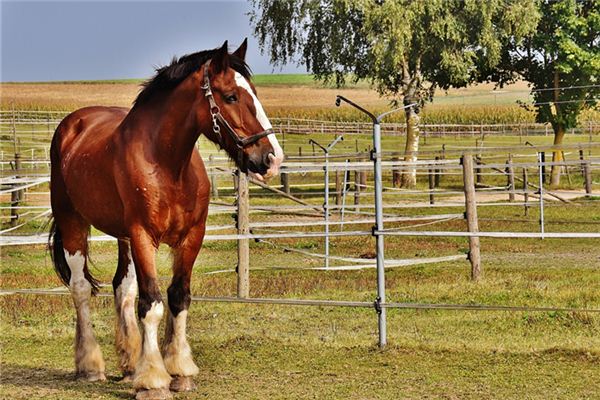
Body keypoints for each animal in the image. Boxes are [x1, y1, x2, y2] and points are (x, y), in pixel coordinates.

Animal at [49, 41, 284, 400]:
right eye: (231, 96)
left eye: (255, 93)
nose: (272, 159)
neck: (167, 165)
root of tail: (73, 124)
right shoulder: (143, 236)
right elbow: (152, 303)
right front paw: (154, 380)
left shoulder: (190, 237)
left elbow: (178, 297)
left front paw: (179, 370)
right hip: (73, 222)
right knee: (80, 289)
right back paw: (90, 365)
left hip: (123, 238)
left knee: (123, 288)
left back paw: (129, 362)